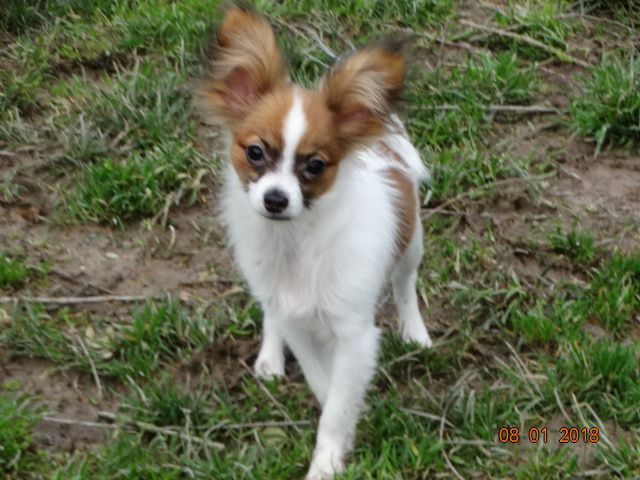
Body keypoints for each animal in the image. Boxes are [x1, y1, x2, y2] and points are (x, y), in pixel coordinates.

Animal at [200, 5, 432, 478]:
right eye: (255, 152)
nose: (275, 199)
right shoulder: (298, 324)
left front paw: (327, 461)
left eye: (315, 166)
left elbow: (338, 404)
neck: (293, 243)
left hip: (411, 243)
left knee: (404, 284)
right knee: (272, 312)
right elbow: (326, 388)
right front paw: (341, 440)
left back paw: (414, 331)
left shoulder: (354, 334)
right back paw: (270, 355)